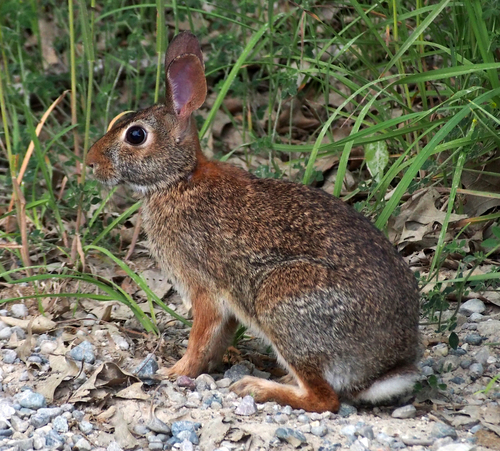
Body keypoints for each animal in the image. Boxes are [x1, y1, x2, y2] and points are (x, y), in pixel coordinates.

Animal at [87, 30, 422, 414]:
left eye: (136, 135)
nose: (90, 163)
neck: (178, 179)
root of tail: (383, 371)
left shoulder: (204, 288)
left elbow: (201, 337)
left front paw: (174, 371)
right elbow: (217, 341)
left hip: (282, 302)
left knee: (324, 398)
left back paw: (257, 388)